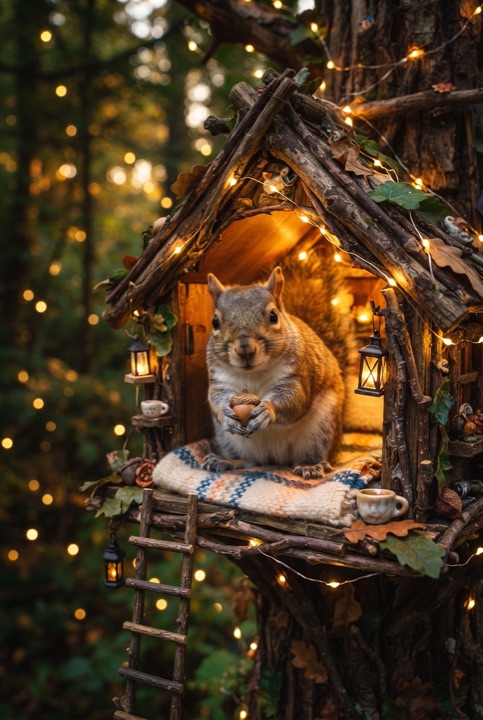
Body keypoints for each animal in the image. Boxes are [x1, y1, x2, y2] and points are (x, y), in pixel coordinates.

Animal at [203, 261, 347, 479]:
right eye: (215, 322)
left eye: (273, 316)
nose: (245, 349)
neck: (252, 373)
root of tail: (275, 458)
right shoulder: (220, 380)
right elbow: (215, 397)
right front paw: (225, 413)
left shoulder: (296, 376)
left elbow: (295, 399)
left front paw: (267, 410)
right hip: (230, 440)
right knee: (249, 461)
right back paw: (226, 461)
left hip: (322, 429)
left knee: (313, 453)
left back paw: (311, 465)